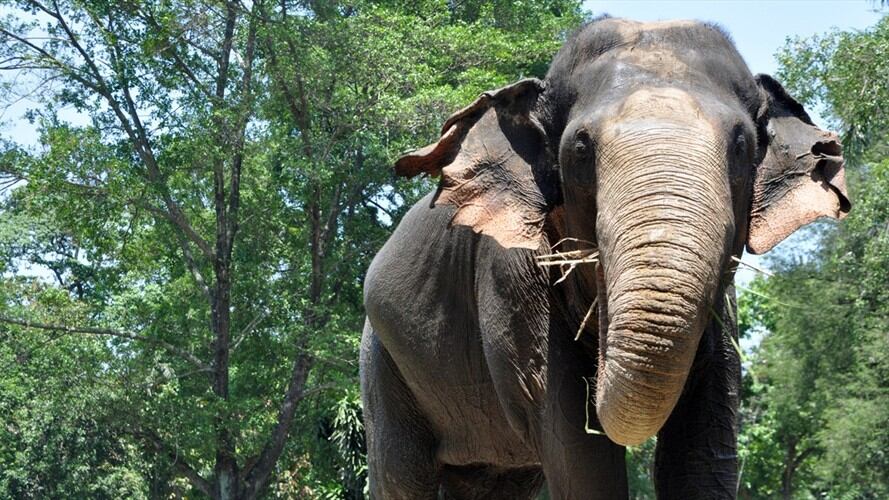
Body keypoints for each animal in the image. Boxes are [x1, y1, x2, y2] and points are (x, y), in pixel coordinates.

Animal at [360, 17, 850, 499]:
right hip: (382, 361)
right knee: (402, 476)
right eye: (580, 148)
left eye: (742, 146)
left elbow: (704, 447)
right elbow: (576, 448)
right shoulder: (512, 277)